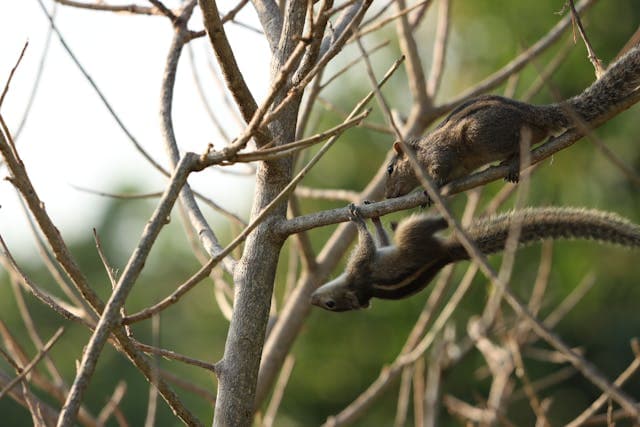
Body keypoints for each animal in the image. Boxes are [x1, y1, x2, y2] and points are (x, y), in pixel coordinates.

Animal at [311, 204, 640, 312]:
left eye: (329, 304)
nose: (311, 299)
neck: (358, 288)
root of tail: (446, 254)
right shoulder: (361, 266)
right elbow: (367, 245)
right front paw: (360, 219)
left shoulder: (360, 266)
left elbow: (371, 243)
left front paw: (368, 217)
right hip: (413, 235)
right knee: (425, 224)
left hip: (411, 236)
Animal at [384, 45, 640, 198]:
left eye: (390, 169)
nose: (386, 196)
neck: (421, 152)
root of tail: (531, 111)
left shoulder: (439, 153)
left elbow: (440, 167)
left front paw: (432, 189)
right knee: (543, 133)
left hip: (479, 134)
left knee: (535, 135)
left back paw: (516, 160)